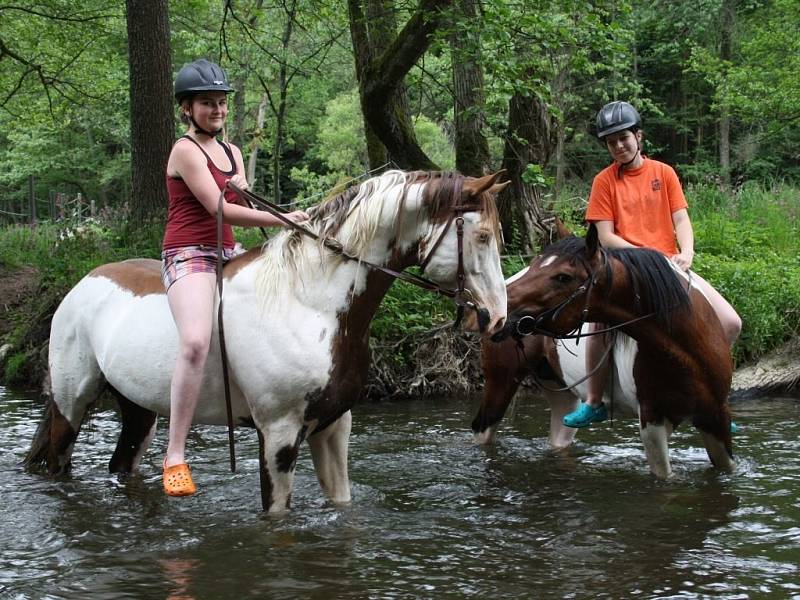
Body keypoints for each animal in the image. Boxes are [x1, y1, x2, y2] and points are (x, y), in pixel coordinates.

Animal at [29, 169, 512, 510]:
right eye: (483, 236)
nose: (497, 318)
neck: (309, 301)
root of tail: (81, 284)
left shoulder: (333, 424)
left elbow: (342, 503)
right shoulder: (279, 434)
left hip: (138, 409)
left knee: (121, 464)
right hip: (73, 403)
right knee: (58, 462)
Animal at [472, 225, 736, 478]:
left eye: (563, 277)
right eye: (535, 265)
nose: (492, 314)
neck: (685, 354)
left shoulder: (715, 417)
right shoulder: (652, 420)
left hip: (562, 395)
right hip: (500, 384)